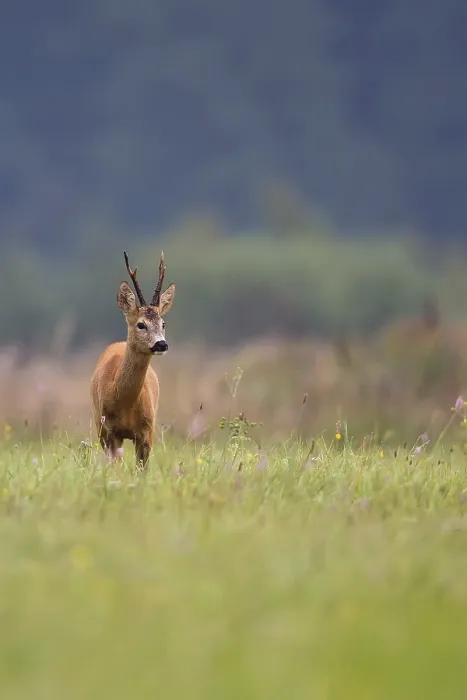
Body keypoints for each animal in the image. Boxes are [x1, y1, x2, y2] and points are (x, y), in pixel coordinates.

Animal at [90, 250, 175, 468]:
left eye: (163, 323)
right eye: (141, 324)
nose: (161, 344)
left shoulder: (147, 431)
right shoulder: (111, 432)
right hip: (99, 426)